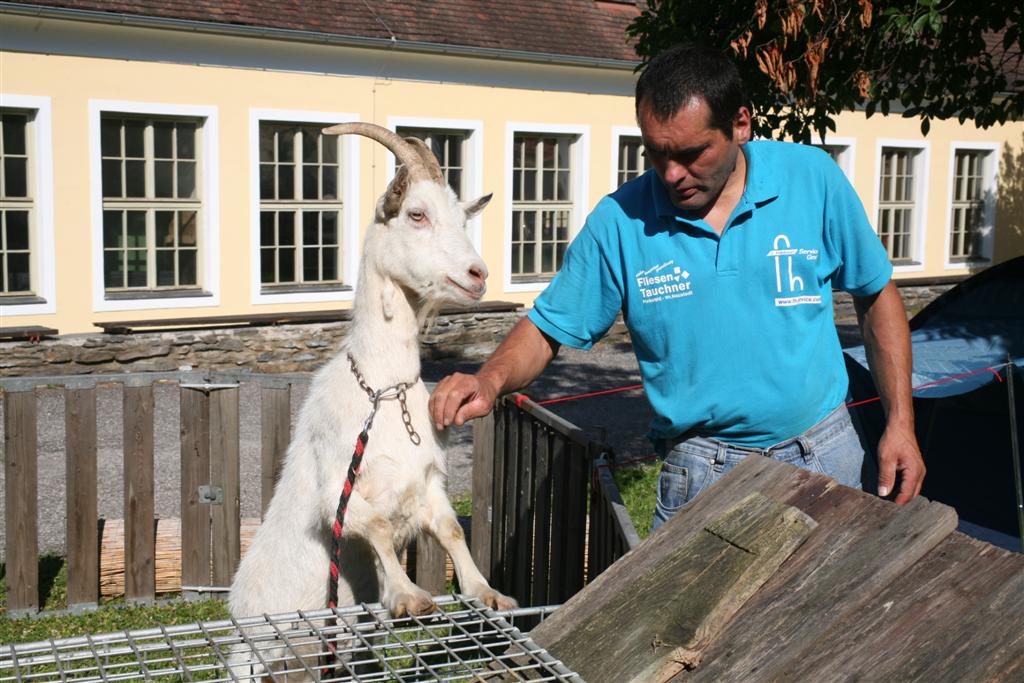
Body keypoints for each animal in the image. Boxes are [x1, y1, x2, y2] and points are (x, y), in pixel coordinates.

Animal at [225, 122, 512, 679]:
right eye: (416, 214)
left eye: (461, 217)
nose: (478, 274)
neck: (383, 390)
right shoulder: (337, 493)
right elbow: (377, 527)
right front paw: (407, 596)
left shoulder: (427, 481)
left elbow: (451, 530)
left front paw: (485, 590)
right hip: (250, 651)